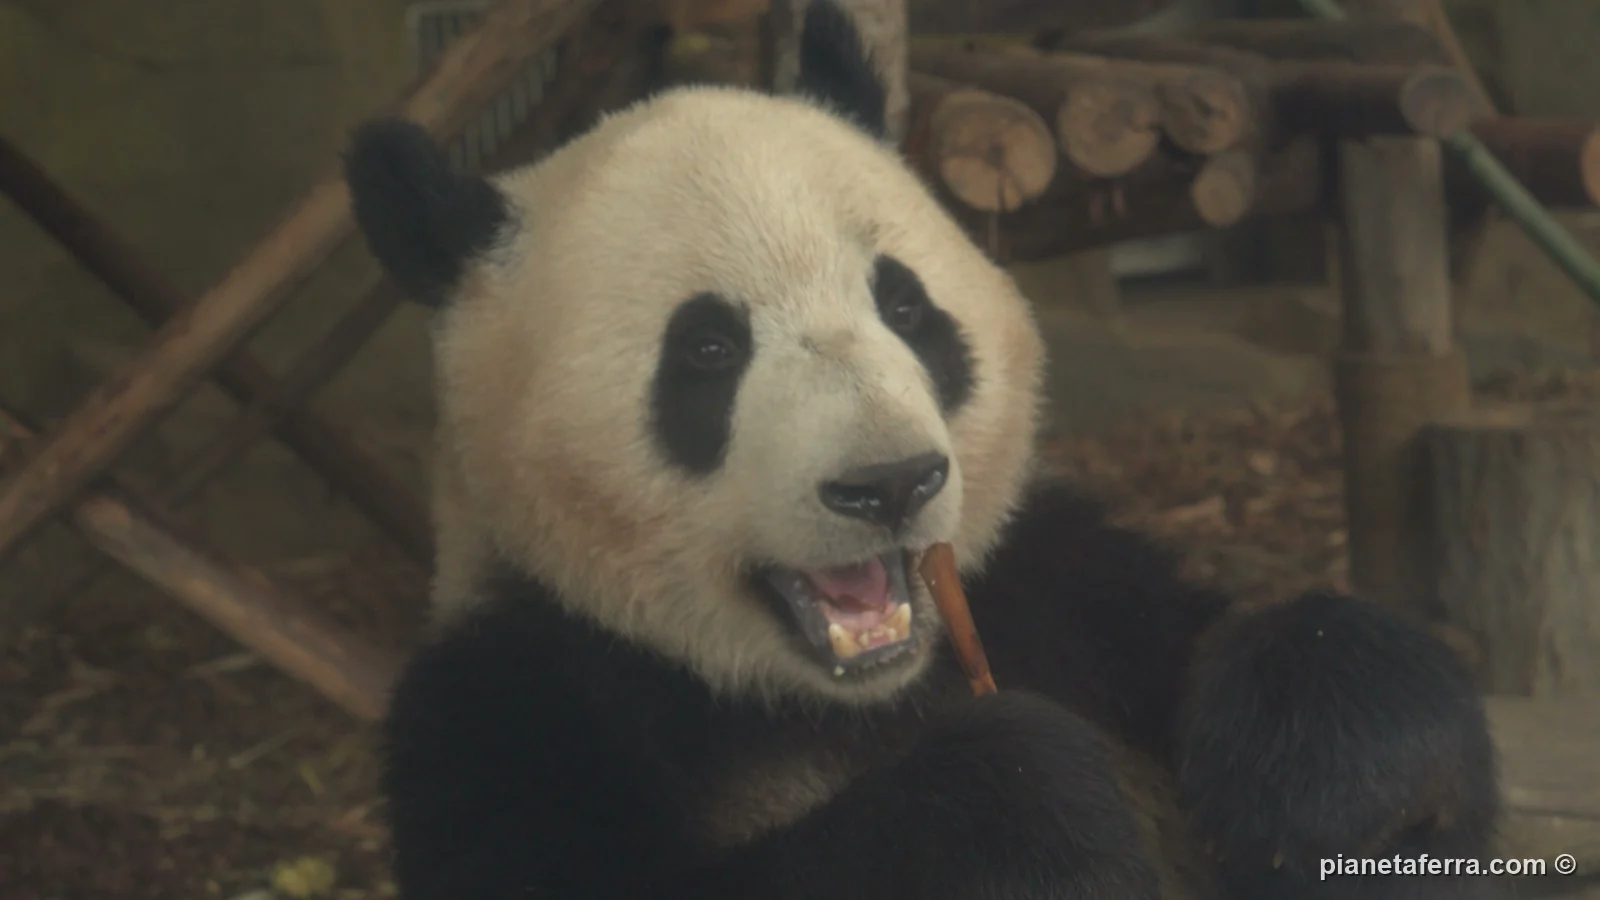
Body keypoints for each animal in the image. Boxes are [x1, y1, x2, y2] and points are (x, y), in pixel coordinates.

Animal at [343, 3, 1501, 898]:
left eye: (904, 307)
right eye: (707, 350)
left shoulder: (1046, 583)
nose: (889, 484)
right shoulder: (517, 703)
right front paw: (1026, 809)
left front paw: (1318, 770)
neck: (848, 698)